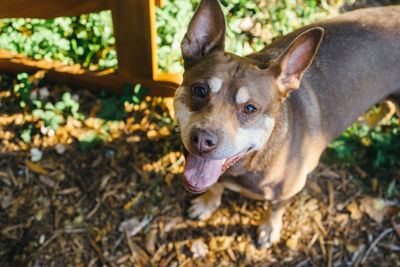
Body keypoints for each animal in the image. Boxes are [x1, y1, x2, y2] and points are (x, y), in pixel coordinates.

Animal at [172, 0, 400, 248]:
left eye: (249, 109)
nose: (203, 139)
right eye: (200, 90)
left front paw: (269, 229)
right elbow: (214, 185)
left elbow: (275, 209)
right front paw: (207, 203)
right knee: (389, 106)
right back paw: (371, 122)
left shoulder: (288, 190)